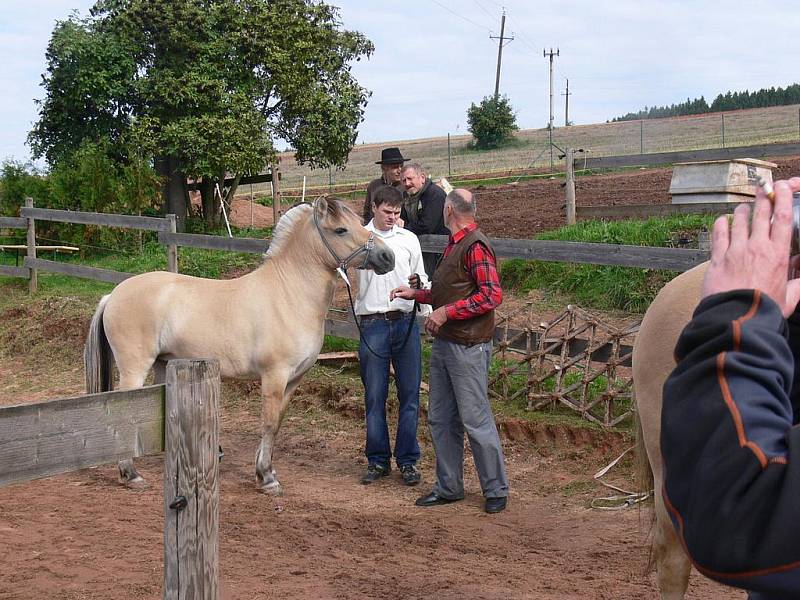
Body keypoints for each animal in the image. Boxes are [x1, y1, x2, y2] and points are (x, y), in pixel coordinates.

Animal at [85, 199, 394, 494]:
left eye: (360, 222)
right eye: (340, 229)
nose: (387, 257)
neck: (288, 293)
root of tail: (112, 295)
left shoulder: (294, 380)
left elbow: (277, 424)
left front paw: (265, 471)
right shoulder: (274, 376)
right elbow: (268, 423)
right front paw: (267, 479)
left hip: (163, 364)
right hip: (135, 367)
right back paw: (131, 475)